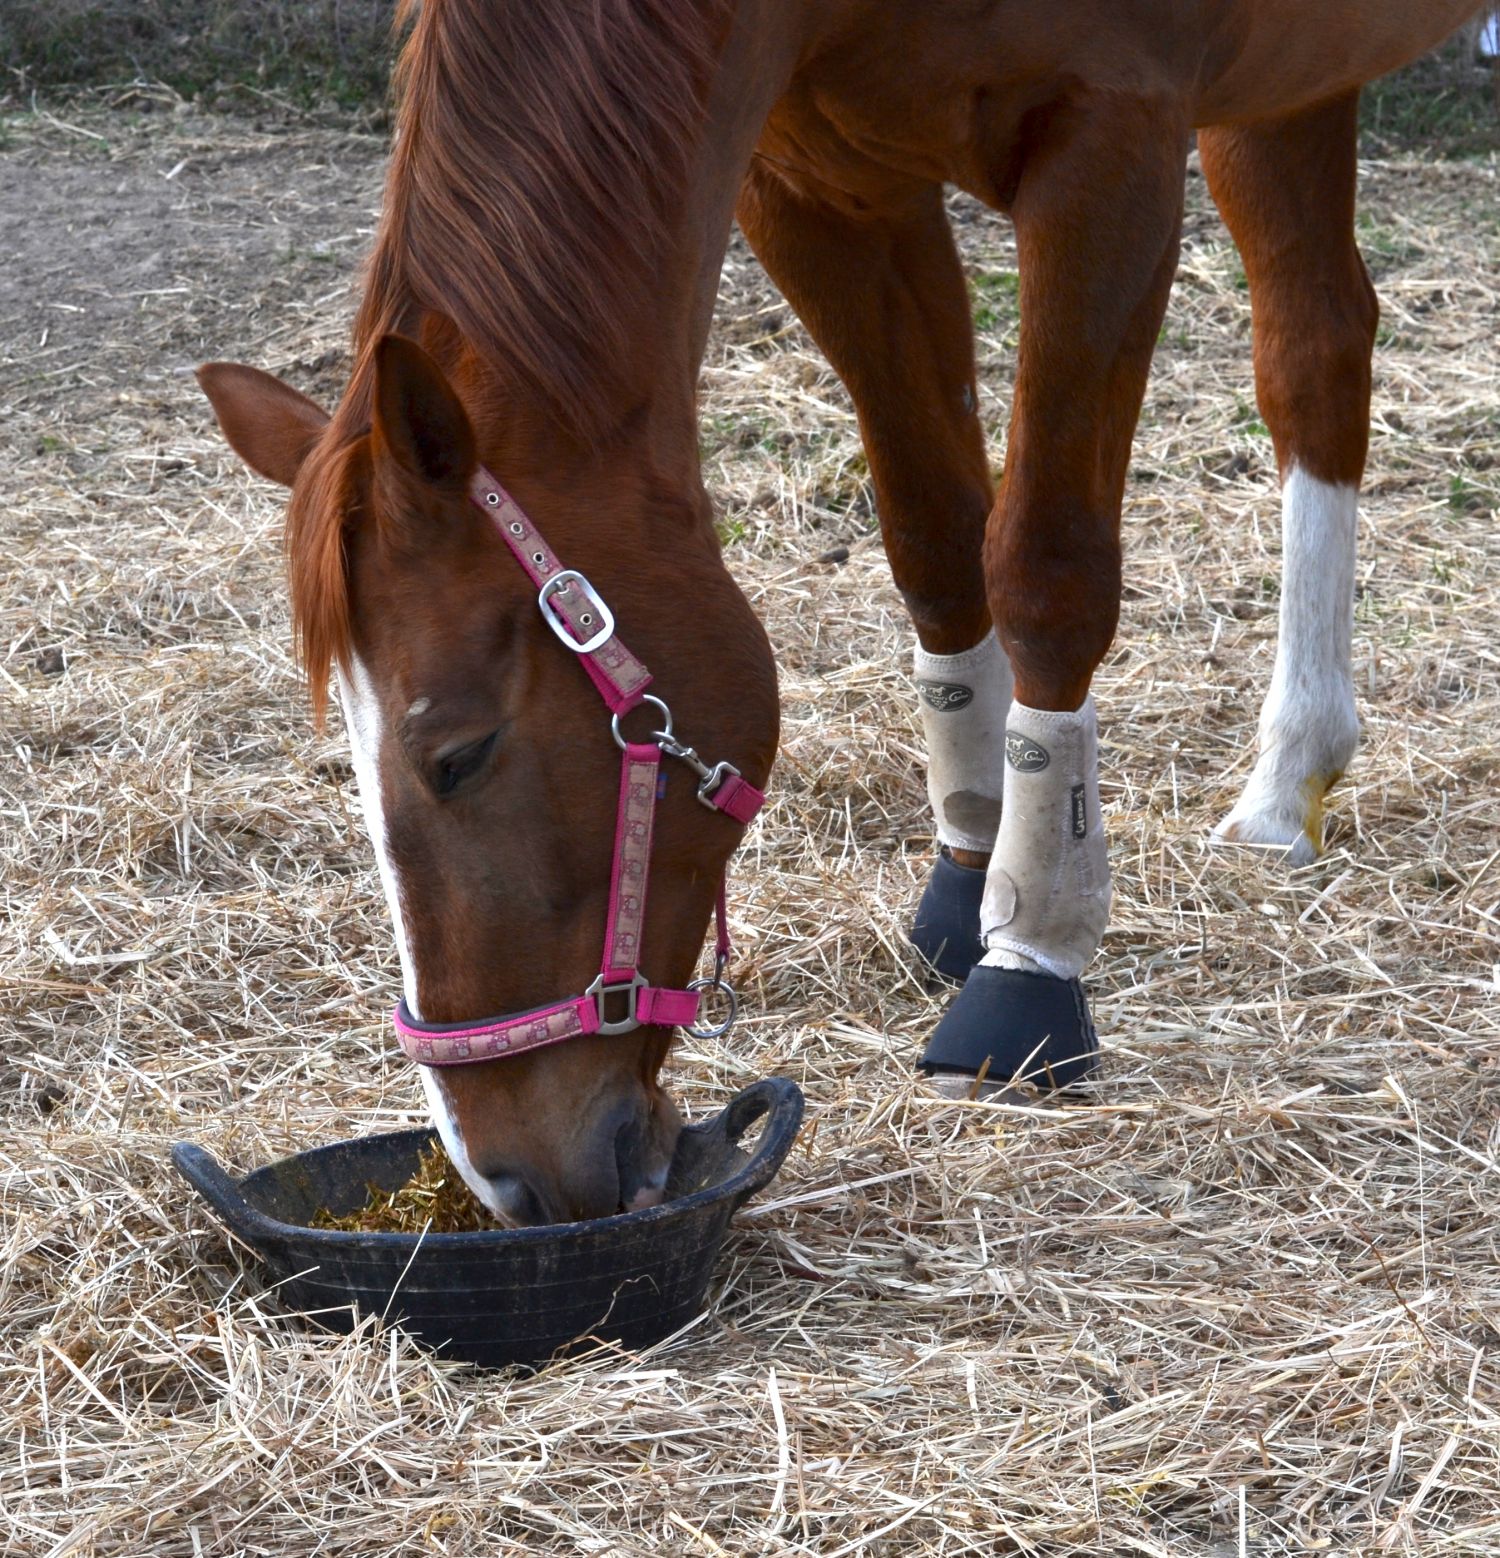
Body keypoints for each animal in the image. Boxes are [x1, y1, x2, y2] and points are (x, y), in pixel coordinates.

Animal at [198, 0, 1487, 1224]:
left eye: (458, 756)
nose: (506, 1173)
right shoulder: (825, 190)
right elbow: (936, 536)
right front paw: (974, 867)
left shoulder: (1109, 147)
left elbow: (1044, 565)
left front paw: (1032, 959)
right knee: (1316, 351)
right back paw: (1288, 775)